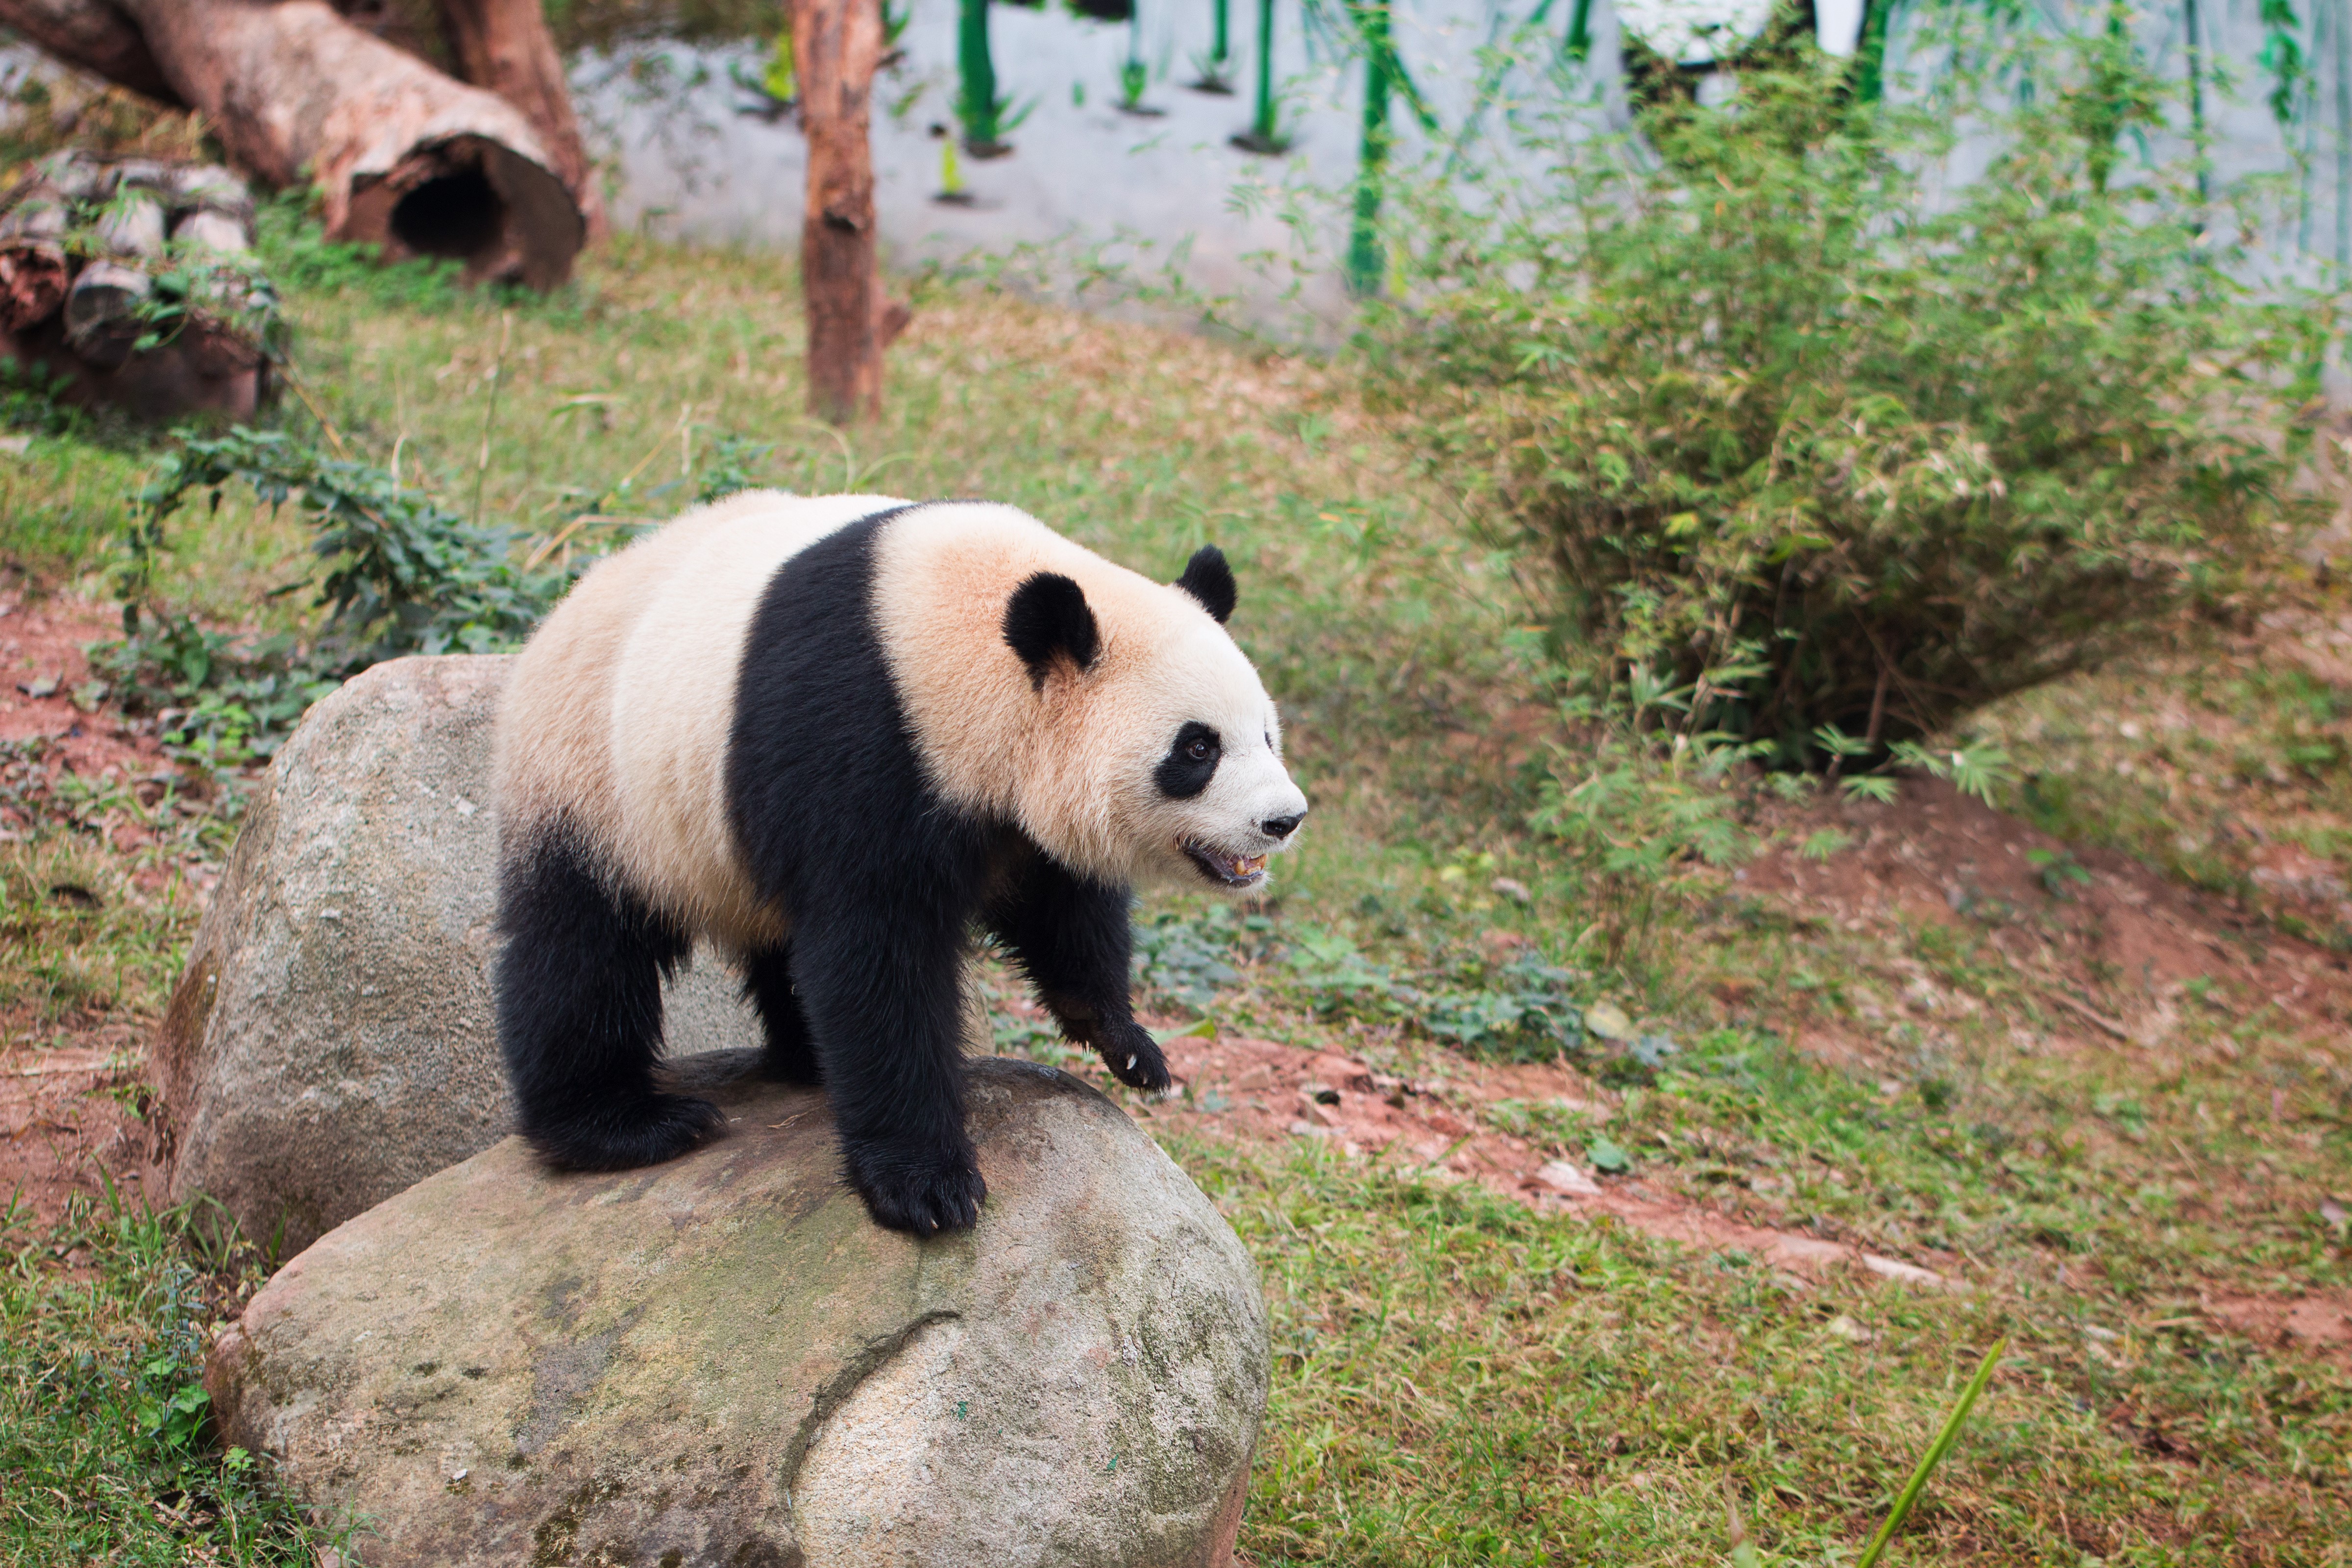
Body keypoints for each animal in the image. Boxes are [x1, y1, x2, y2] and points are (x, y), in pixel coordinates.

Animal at [492, 491, 1309, 1234]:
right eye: (1197, 749)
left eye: (1266, 735)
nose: (1284, 820)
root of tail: (555, 617)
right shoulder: (860, 734)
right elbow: (876, 958)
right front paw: (927, 1186)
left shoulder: (1006, 803)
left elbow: (1062, 903)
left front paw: (1128, 1046)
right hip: (597, 782)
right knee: (581, 954)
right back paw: (624, 1127)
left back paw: (804, 1058)